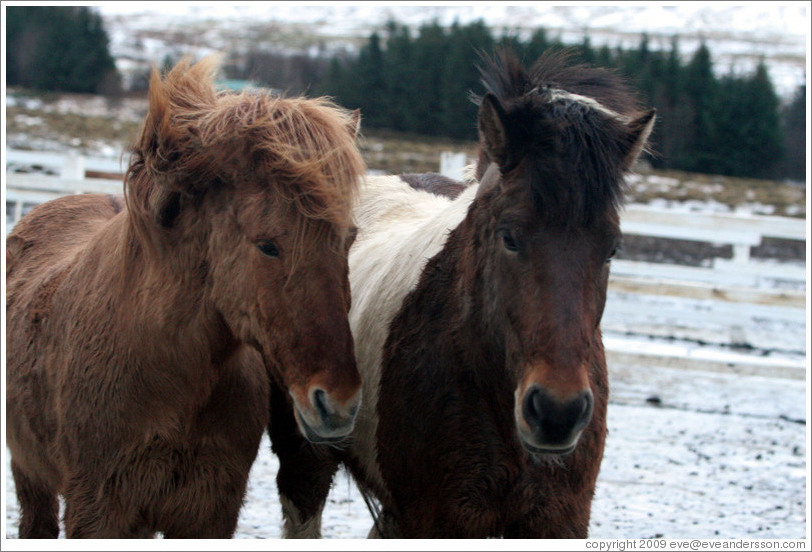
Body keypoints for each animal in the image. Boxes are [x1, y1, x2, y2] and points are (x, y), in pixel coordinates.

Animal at [6, 57, 364, 540]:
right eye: (267, 245)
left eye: (350, 238)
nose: (338, 405)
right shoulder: (99, 508)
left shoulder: (210, 511)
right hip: (32, 479)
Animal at [270, 49, 656, 536]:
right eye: (509, 237)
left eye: (612, 248)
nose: (557, 413)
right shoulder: (440, 518)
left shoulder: (557, 519)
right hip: (307, 458)